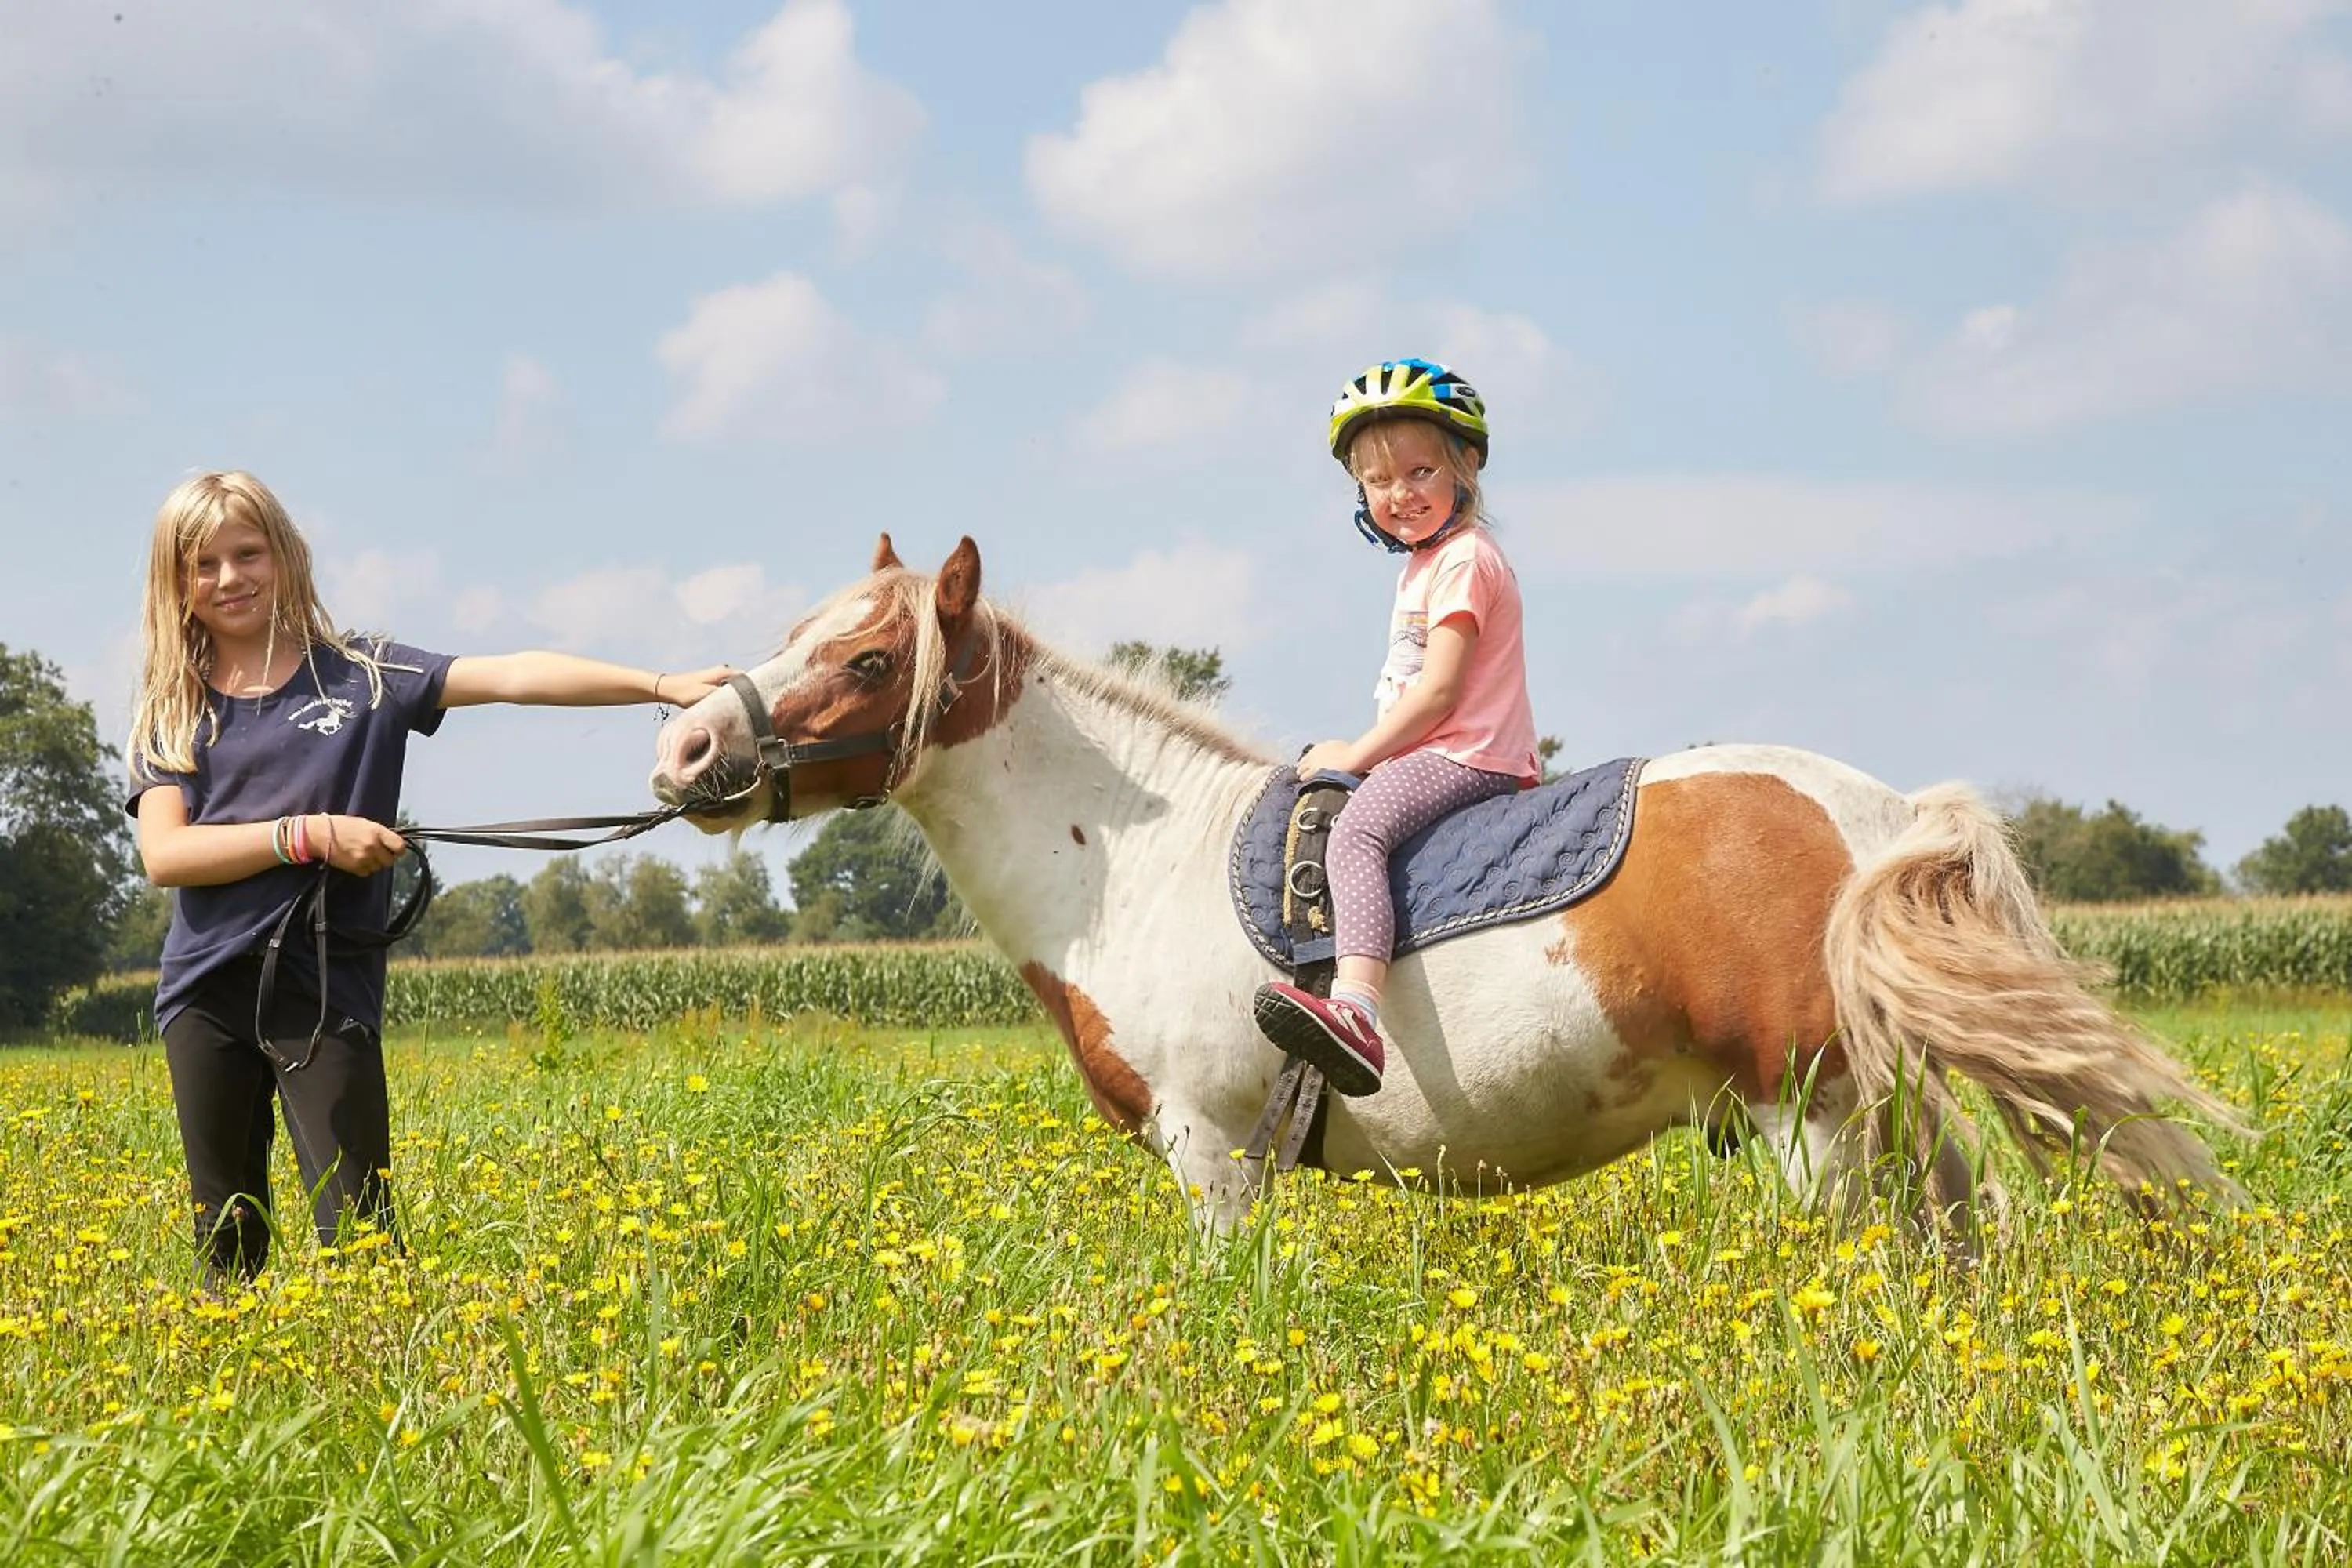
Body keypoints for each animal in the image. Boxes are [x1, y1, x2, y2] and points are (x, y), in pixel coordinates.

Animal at [648, 535, 2244, 1234]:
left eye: (868, 660)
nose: (687, 744)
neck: (1131, 863)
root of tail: (1887, 816)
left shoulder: (1212, 1153)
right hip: (1880, 1118)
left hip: (1817, 1128)